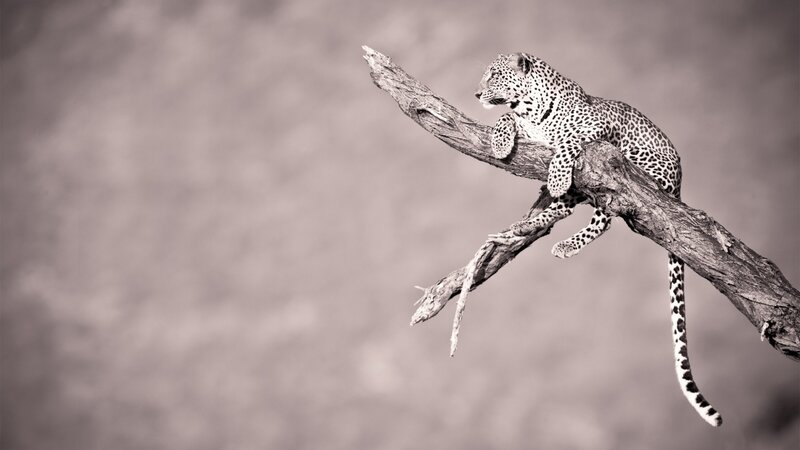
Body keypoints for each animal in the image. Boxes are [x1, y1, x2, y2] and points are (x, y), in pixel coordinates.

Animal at [475, 52, 722, 427]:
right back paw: (525, 227)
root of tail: (679, 184)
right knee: (566, 210)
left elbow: (566, 142)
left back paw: (562, 237)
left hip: (625, 169)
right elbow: (505, 117)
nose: (476, 94)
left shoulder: (594, 128)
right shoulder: (525, 124)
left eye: (494, 75)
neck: (529, 108)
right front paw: (501, 143)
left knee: (604, 216)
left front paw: (556, 174)